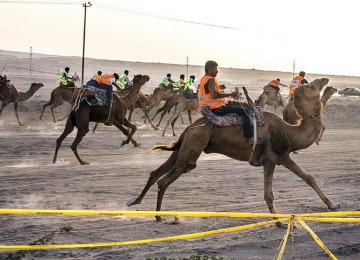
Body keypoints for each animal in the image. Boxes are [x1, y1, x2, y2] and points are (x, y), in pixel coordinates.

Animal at [127, 77, 340, 225]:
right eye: (312, 86)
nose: (326, 79)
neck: (290, 132)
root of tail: (189, 128)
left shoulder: (284, 157)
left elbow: (309, 177)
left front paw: (333, 205)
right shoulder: (270, 159)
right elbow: (269, 194)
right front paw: (279, 222)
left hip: (184, 147)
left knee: (156, 172)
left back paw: (135, 202)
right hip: (193, 147)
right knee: (165, 180)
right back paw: (158, 216)